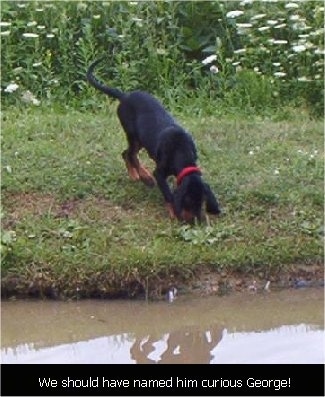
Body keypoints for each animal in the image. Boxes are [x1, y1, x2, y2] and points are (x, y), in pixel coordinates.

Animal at [86, 57, 220, 221]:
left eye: (201, 203)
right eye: (187, 201)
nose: (194, 221)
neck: (181, 151)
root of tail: (124, 96)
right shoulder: (160, 173)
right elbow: (168, 193)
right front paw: (173, 212)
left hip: (140, 140)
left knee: (126, 153)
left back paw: (137, 174)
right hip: (133, 135)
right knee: (130, 154)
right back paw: (144, 177)